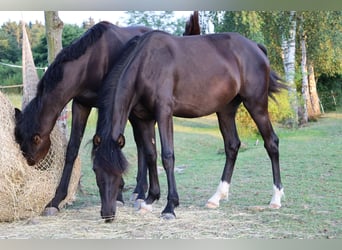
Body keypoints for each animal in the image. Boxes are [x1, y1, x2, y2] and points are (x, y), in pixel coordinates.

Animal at [92, 30, 288, 222]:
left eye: (119, 171)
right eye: (95, 170)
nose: (107, 214)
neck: (145, 65)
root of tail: (256, 47)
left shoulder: (164, 113)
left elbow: (167, 156)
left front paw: (170, 207)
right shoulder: (144, 119)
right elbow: (150, 155)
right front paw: (149, 200)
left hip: (256, 104)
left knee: (271, 143)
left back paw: (276, 199)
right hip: (226, 109)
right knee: (232, 146)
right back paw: (216, 197)